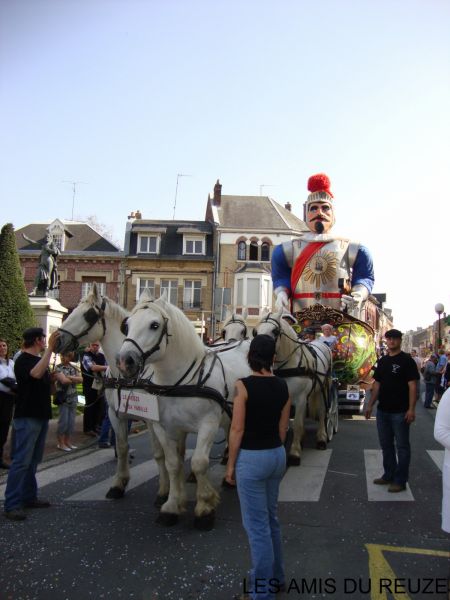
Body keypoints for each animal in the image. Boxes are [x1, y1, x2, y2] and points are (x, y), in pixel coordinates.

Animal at [54, 284, 170, 505]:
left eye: (89, 314)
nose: (55, 340)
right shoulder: (115, 414)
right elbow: (122, 446)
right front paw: (119, 485)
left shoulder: (152, 418)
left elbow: (159, 452)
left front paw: (164, 491)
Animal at [118, 289, 252, 529]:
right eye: (127, 324)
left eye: (154, 325)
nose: (125, 361)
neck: (179, 382)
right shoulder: (164, 428)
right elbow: (172, 463)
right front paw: (172, 505)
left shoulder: (208, 424)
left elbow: (199, 463)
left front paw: (205, 507)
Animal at [253, 311, 333, 465]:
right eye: (255, 331)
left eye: (275, 331)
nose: (255, 354)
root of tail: (322, 343)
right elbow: (284, 424)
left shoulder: (300, 398)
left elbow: (296, 424)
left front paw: (294, 453)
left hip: (323, 389)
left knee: (322, 412)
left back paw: (321, 438)